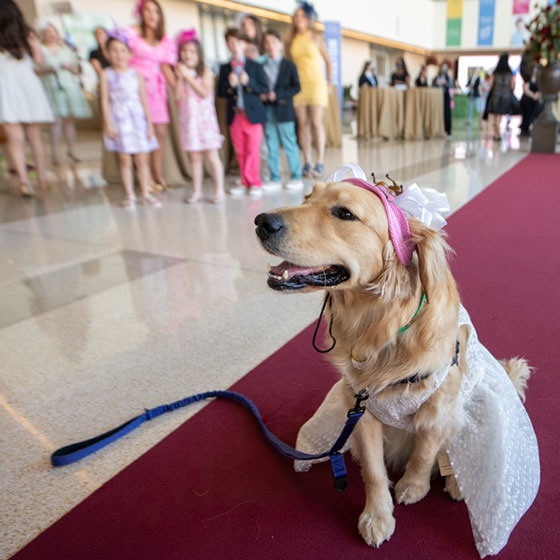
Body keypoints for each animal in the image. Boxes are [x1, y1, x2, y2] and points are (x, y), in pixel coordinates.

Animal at [254, 178, 540, 556]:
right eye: (306, 198)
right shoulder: (360, 408)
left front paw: (413, 487)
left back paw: (457, 483)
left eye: (345, 213)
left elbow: (424, 452)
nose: (261, 221)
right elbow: (375, 472)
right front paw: (377, 517)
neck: (379, 326)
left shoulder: (438, 410)